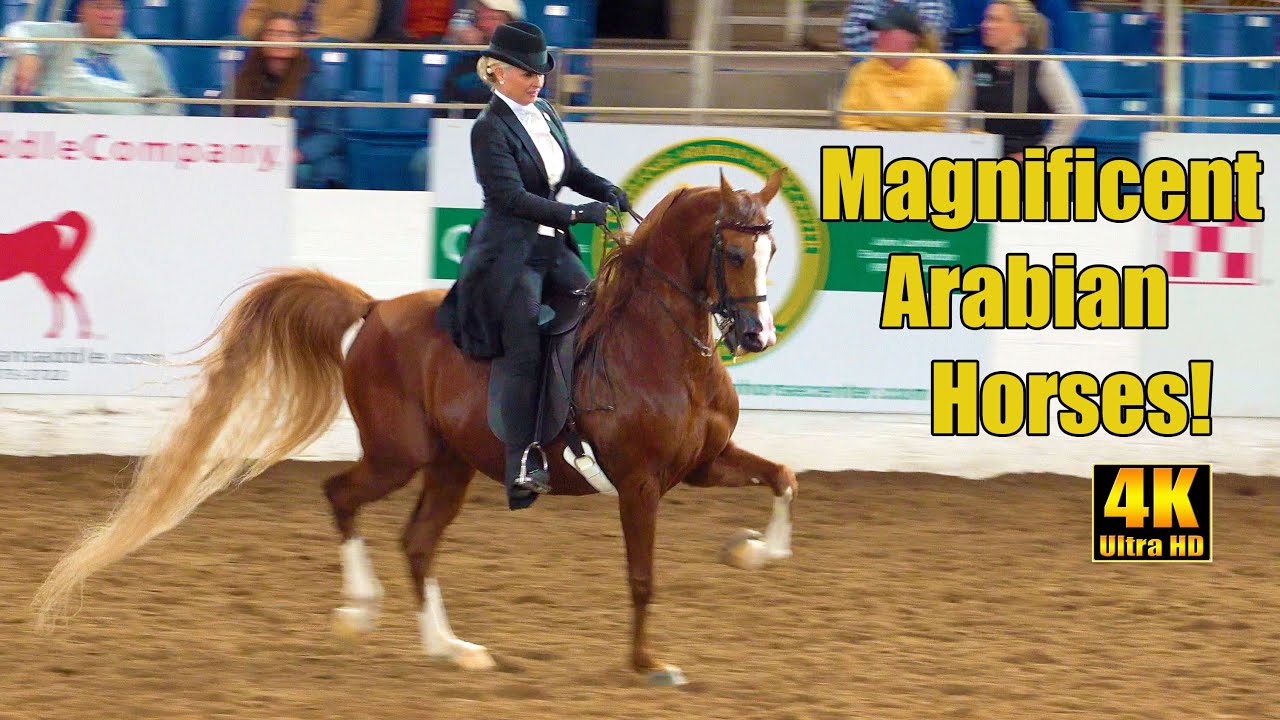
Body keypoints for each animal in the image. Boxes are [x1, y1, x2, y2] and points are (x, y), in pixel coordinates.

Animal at [31, 168, 799, 687]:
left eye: (771, 253)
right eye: (734, 253)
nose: (755, 335)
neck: (661, 347)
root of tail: (373, 310)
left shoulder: (702, 464)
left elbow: (784, 478)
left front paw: (750, 552)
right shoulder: (638, 483)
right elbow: (642, 576)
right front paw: (648, 663)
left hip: (449, 465)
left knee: (418, 542)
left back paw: (450, 649)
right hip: (397, 457)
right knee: (342, 498)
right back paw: (360, 612)